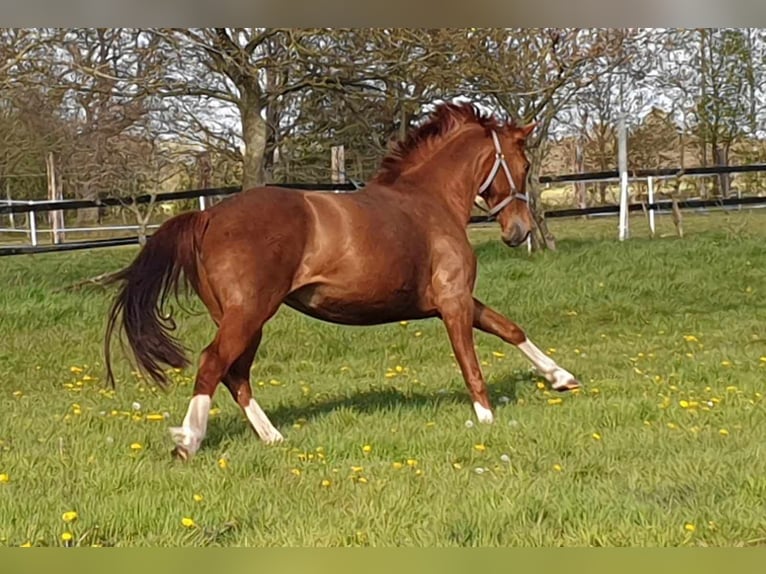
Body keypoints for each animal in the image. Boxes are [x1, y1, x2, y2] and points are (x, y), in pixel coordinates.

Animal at [103, 101, 581, 461]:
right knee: (212, 363)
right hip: (249, 312)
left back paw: (273, 437)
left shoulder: (454, 299)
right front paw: (485, 418)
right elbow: (471, 361)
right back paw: (189, 440)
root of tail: (208, 216)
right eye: (523, 163)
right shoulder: (453, 301)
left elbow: (509, 328)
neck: (431, 202)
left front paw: (561, 377)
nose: (519, 231)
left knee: (235, 373)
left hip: (244, 319)